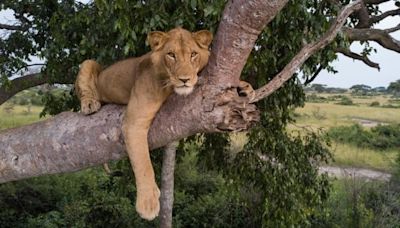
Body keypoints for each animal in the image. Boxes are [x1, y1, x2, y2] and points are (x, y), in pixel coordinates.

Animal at [74, 27, 253, 220]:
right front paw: (148, 203)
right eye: (171, 55)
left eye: (193, 54)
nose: (184, 79)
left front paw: (244, 87)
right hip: (89, 63)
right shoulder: (134, 122)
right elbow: (143, 163)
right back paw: (90, 104)